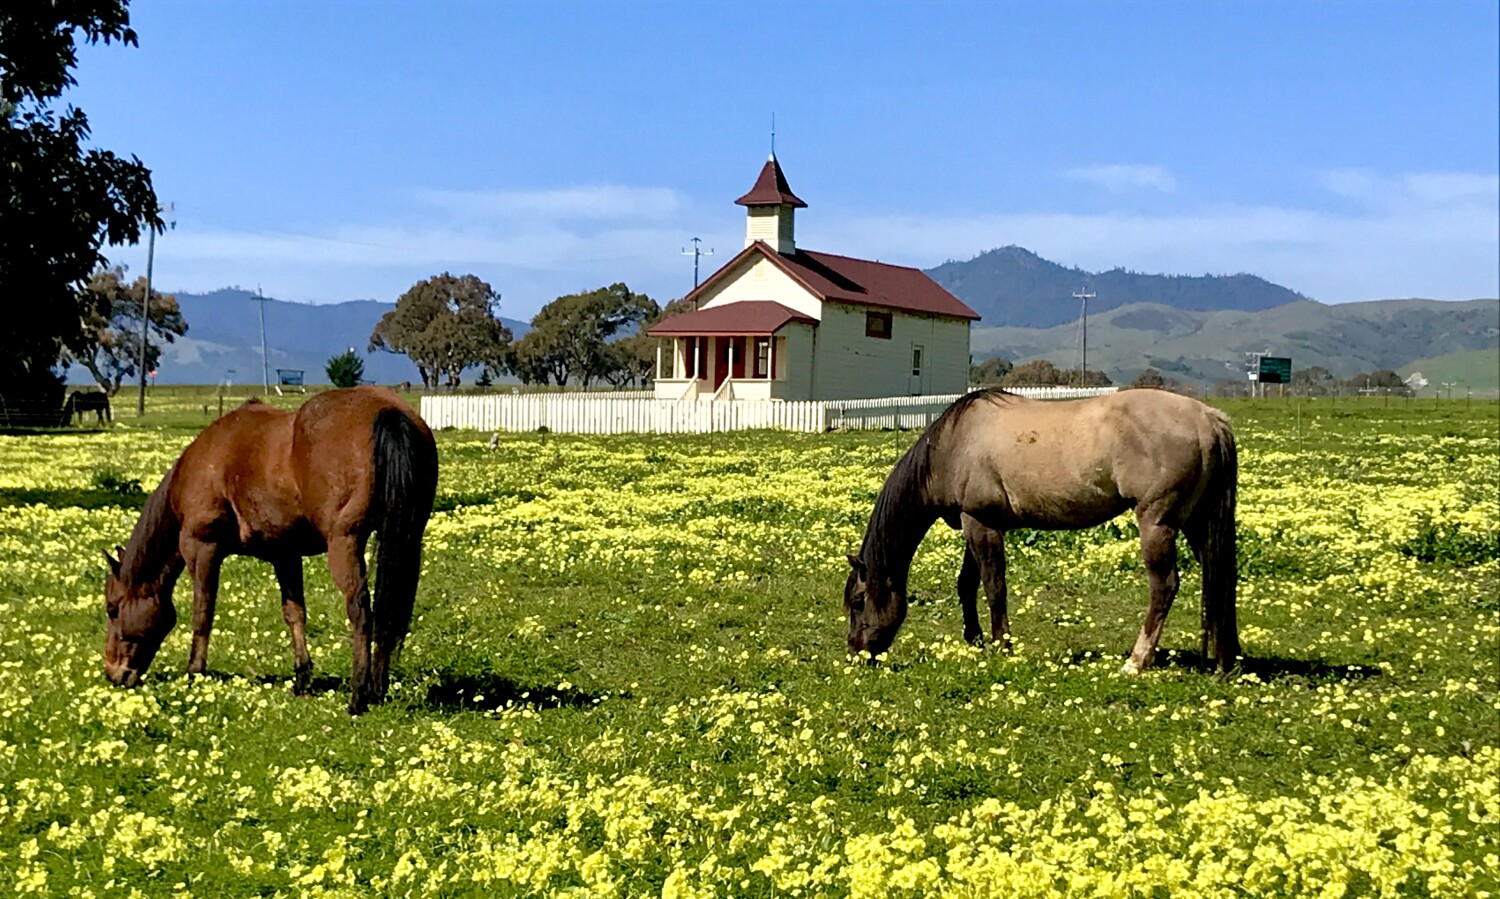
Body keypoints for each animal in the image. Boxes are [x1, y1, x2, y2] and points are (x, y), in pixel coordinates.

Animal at [102, 386, 439, 714]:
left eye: (112, 608)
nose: (113, 674)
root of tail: (388, 412)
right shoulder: (285, 554)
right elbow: (294, 613)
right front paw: (302, 679)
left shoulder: (202, 548)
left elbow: (202, 613)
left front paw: (194, 672)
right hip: (407, 538)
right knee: (388, 612)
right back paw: (378, 689)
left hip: (345, 542)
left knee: (361, 611)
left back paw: (358, 696)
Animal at [845, 388, 1240, 675]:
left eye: (858, 601)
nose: (855, 651)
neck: (953, 446)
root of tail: (1209, 420)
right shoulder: (976, 522)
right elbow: (967, 584)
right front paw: (975, 639)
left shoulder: (982, 523)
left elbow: (994, 587)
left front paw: (1002, 646)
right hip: (1196, 522)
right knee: (1221, 578)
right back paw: (1227, 660)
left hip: (1157, 522)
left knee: (1165, 586)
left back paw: (1136, 661)